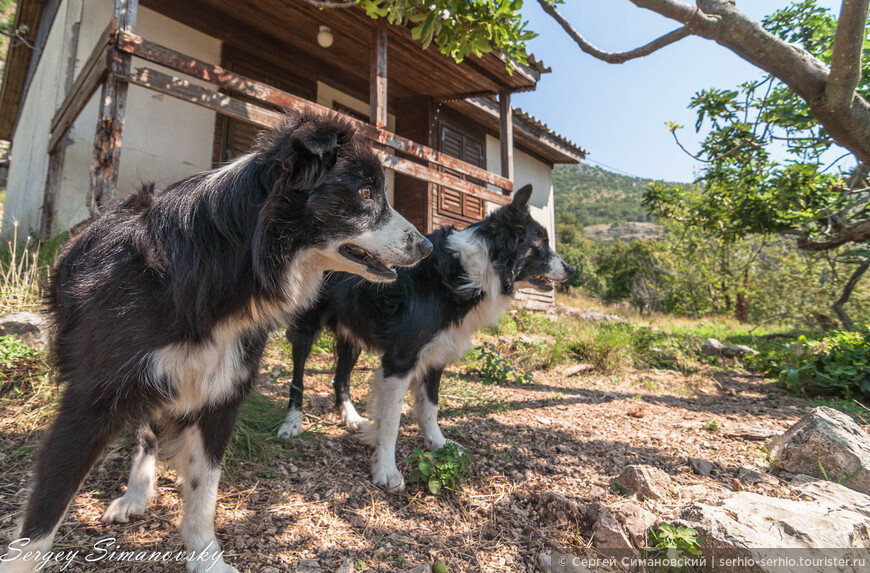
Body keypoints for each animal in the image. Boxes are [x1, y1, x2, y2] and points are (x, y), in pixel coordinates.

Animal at [0, 111, 434, 572]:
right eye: (366, 193)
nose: (426, 246)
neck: (229, 265)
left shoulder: (222, 392)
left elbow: (203, 490)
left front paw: (207, 559)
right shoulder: (90, 401)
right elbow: (43, 517)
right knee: (144, 432)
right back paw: (135, 494)